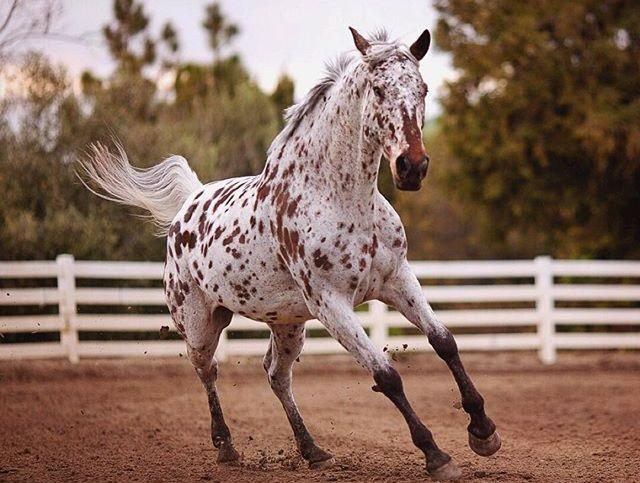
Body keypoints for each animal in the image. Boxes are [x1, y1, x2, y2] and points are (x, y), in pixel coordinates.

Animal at [80, 27, 500, 481]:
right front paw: (435, 454)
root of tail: (190, 201)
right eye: (378, 89)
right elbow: (386, 375)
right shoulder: (332, 305)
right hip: (199, 322)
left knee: (276, 376)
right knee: (207, 369)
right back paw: (226, 447)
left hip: (287, 324)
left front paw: (483, 432)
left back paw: (312, 449)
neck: (338, 199)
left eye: (422, 89)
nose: (413, 167)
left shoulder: (397, 280)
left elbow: (445, 342)